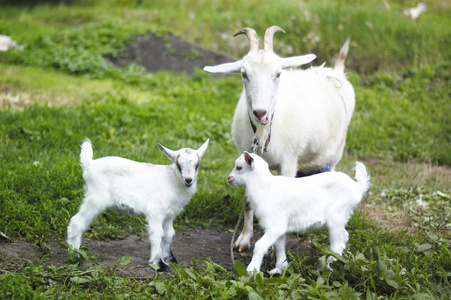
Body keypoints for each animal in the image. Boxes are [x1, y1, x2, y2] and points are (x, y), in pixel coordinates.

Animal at [205, 25, 356, 252]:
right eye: (244, 74)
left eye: (278, 74)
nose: (260, 112)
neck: (263, 132)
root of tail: (336, 71)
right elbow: (249, 202)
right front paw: (244, 239)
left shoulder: (289, 160)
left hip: (335, 152)